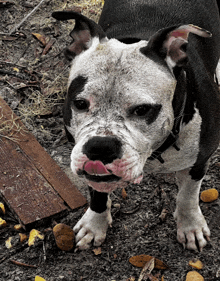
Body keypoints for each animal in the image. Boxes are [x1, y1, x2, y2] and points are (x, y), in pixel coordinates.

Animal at [52, 0, 220, 249]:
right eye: (80, 104)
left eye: (142, 110)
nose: (100, 147)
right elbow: (97, 194)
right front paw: (95, 224)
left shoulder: (199, 161)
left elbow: (188, 195)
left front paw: (190, 225)